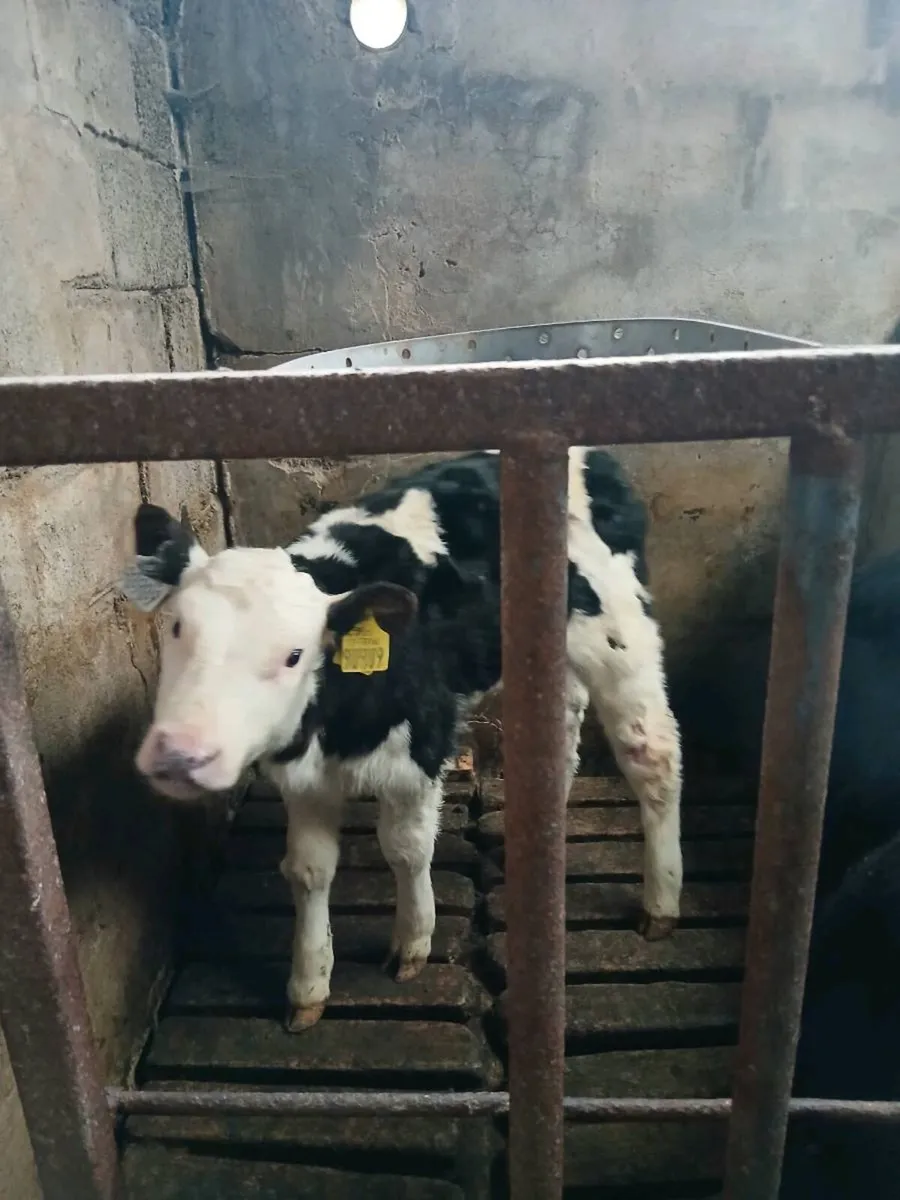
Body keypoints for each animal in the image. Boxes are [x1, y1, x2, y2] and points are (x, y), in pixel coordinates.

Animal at [122, 448, 683, 1031]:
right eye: (177, 627)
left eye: (294, 655)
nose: (180, 752)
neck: (335, 726)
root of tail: (593, 457)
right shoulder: (303, 780)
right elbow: (308, 869)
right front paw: (308, 985)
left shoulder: (421, 749)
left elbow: (407, 849)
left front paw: (413, 943)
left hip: (620, 636)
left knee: (652, 754)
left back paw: (661, 903)